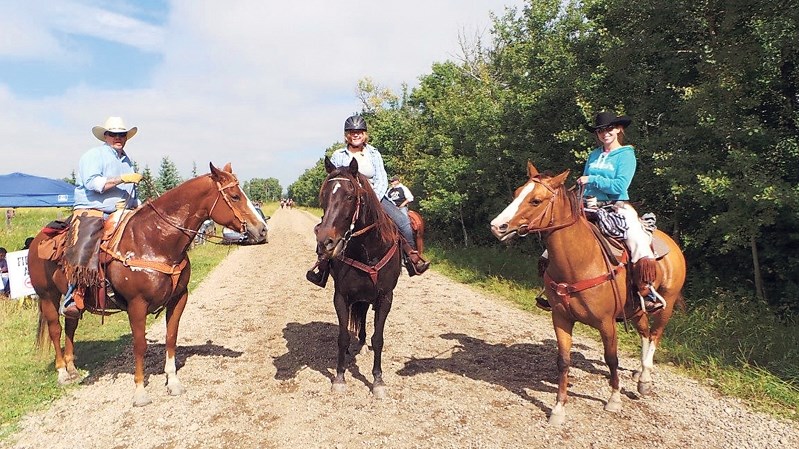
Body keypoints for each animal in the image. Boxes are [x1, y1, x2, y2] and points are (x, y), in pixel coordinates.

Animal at [28, 162, 268, 406]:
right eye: (235, 196)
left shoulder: (179, 298)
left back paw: (72, 368)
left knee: (70, 326)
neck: (154, 242)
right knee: (55, 329)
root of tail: (37, 240)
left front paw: (173, 382)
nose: (262, 229)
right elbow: (140, 345)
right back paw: (62, 373)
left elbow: (171, 337)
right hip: (47, 296)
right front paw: (140, 391)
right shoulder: (137, 304)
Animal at [316, 156, 404, 398]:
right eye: (323, 196)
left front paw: (378, 381)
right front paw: (339, 377)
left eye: (350, 196)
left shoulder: (385, 298)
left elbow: (378, 338)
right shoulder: (341, 296)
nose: (325, 242)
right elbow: (343, 336)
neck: (368, 249)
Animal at [488, 161, 688, 424]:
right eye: (517, 192)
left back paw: (645, 378)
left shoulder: (606, 323)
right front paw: (558, 409)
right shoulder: (561, 318)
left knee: (655, 335)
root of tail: (673, 245)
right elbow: (563, 360)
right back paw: (639, 373)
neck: (580, 261)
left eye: (536, 200)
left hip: (667, 304)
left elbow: (611, 358)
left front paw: (614, 400)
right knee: (645, 334)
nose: (497, 226)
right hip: (636, 310)